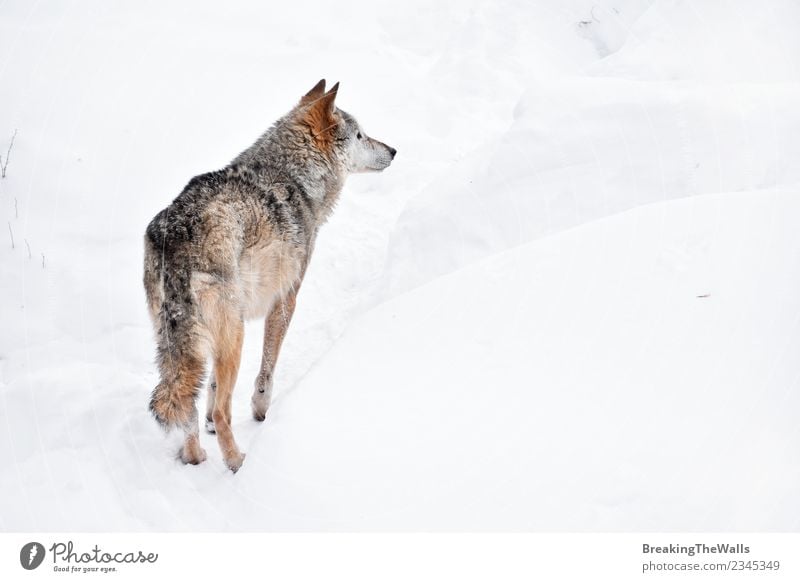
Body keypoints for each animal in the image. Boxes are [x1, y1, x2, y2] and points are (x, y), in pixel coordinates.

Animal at [144, 81, 396, 474]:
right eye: (360, 135)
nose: (394, 151)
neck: (294, 175)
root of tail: (177, 233)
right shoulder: (285, 300)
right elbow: (267, 372)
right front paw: (261, 411)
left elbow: (212, 389)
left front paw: (210, 426)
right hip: (234, 335)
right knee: (221, 408)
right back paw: (236, 463)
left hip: (192, 341)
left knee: (188, 406)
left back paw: (195, 457)